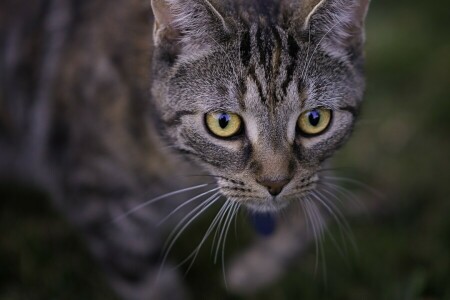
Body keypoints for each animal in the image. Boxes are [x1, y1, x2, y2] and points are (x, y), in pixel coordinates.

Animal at [0, 0, 370, 298]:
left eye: (314, 119)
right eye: (223, 122)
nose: (276, 183)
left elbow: (320, 206)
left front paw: (252, 270)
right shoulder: (99, 205)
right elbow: (152, 286)